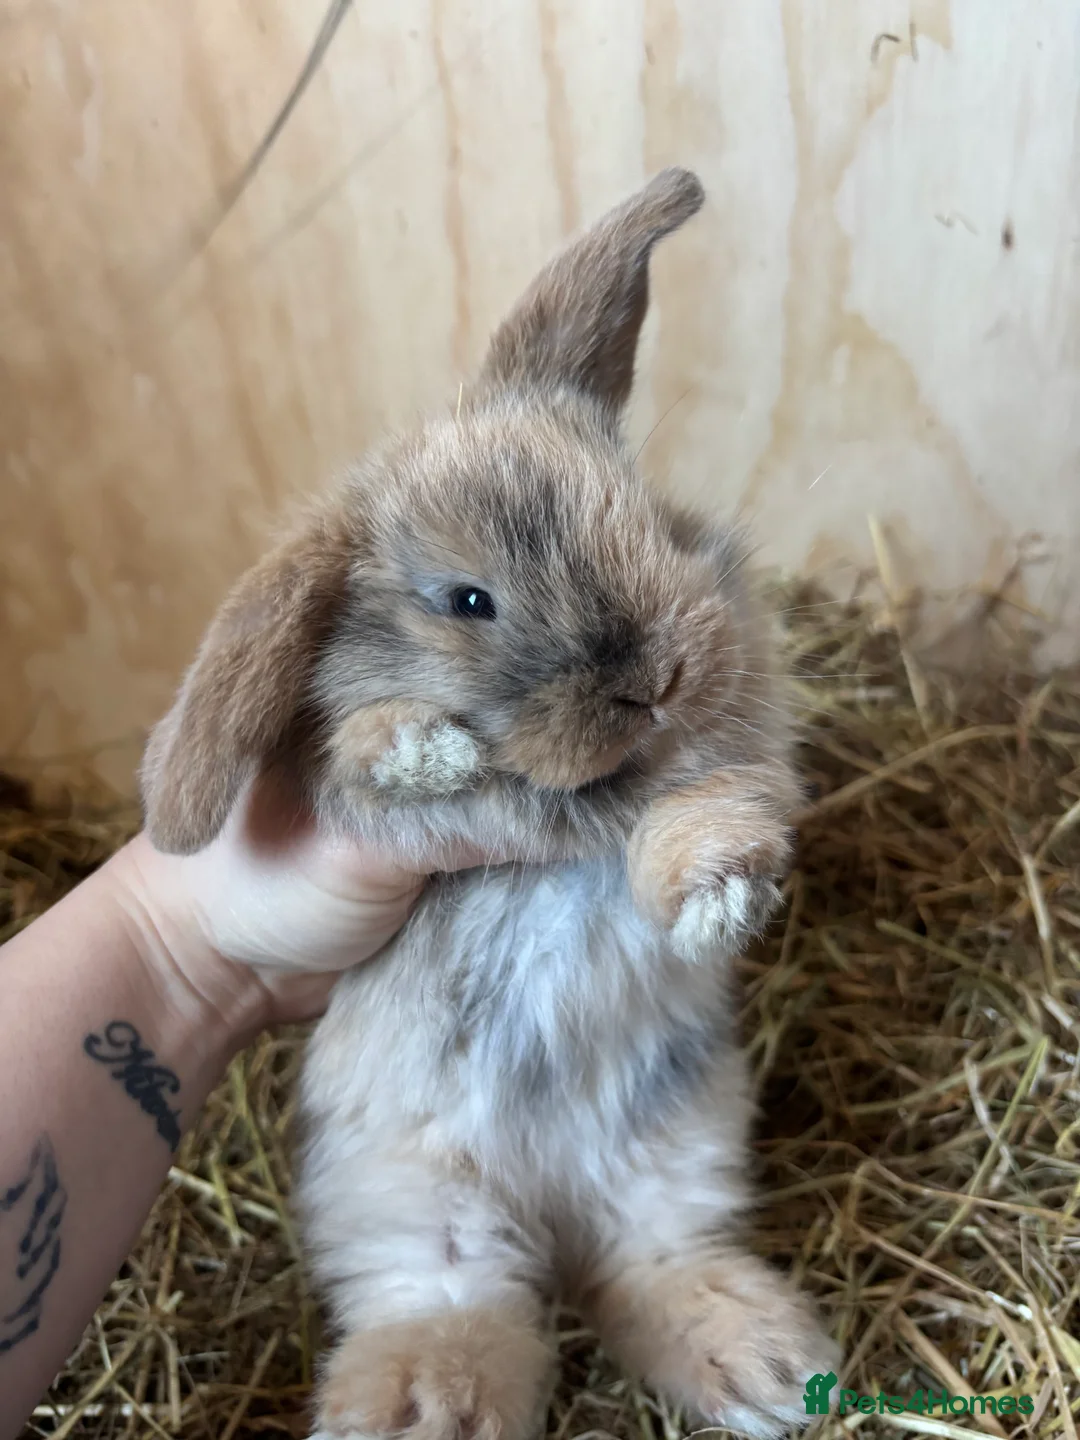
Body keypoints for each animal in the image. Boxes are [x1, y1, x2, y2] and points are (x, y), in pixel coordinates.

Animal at [141, 168, 839, 1440]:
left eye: (646, 516)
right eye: (467, 600)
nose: (661, 677)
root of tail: (554, 1196)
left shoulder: (733, 753)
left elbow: (699, 808)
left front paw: (717, 886)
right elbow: (360, 760)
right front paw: (419, 749)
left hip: (679, 1151)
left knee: (651, 1266)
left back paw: (771, 1367)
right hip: (416, 1204)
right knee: (460, 1306)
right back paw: (421, 1407)